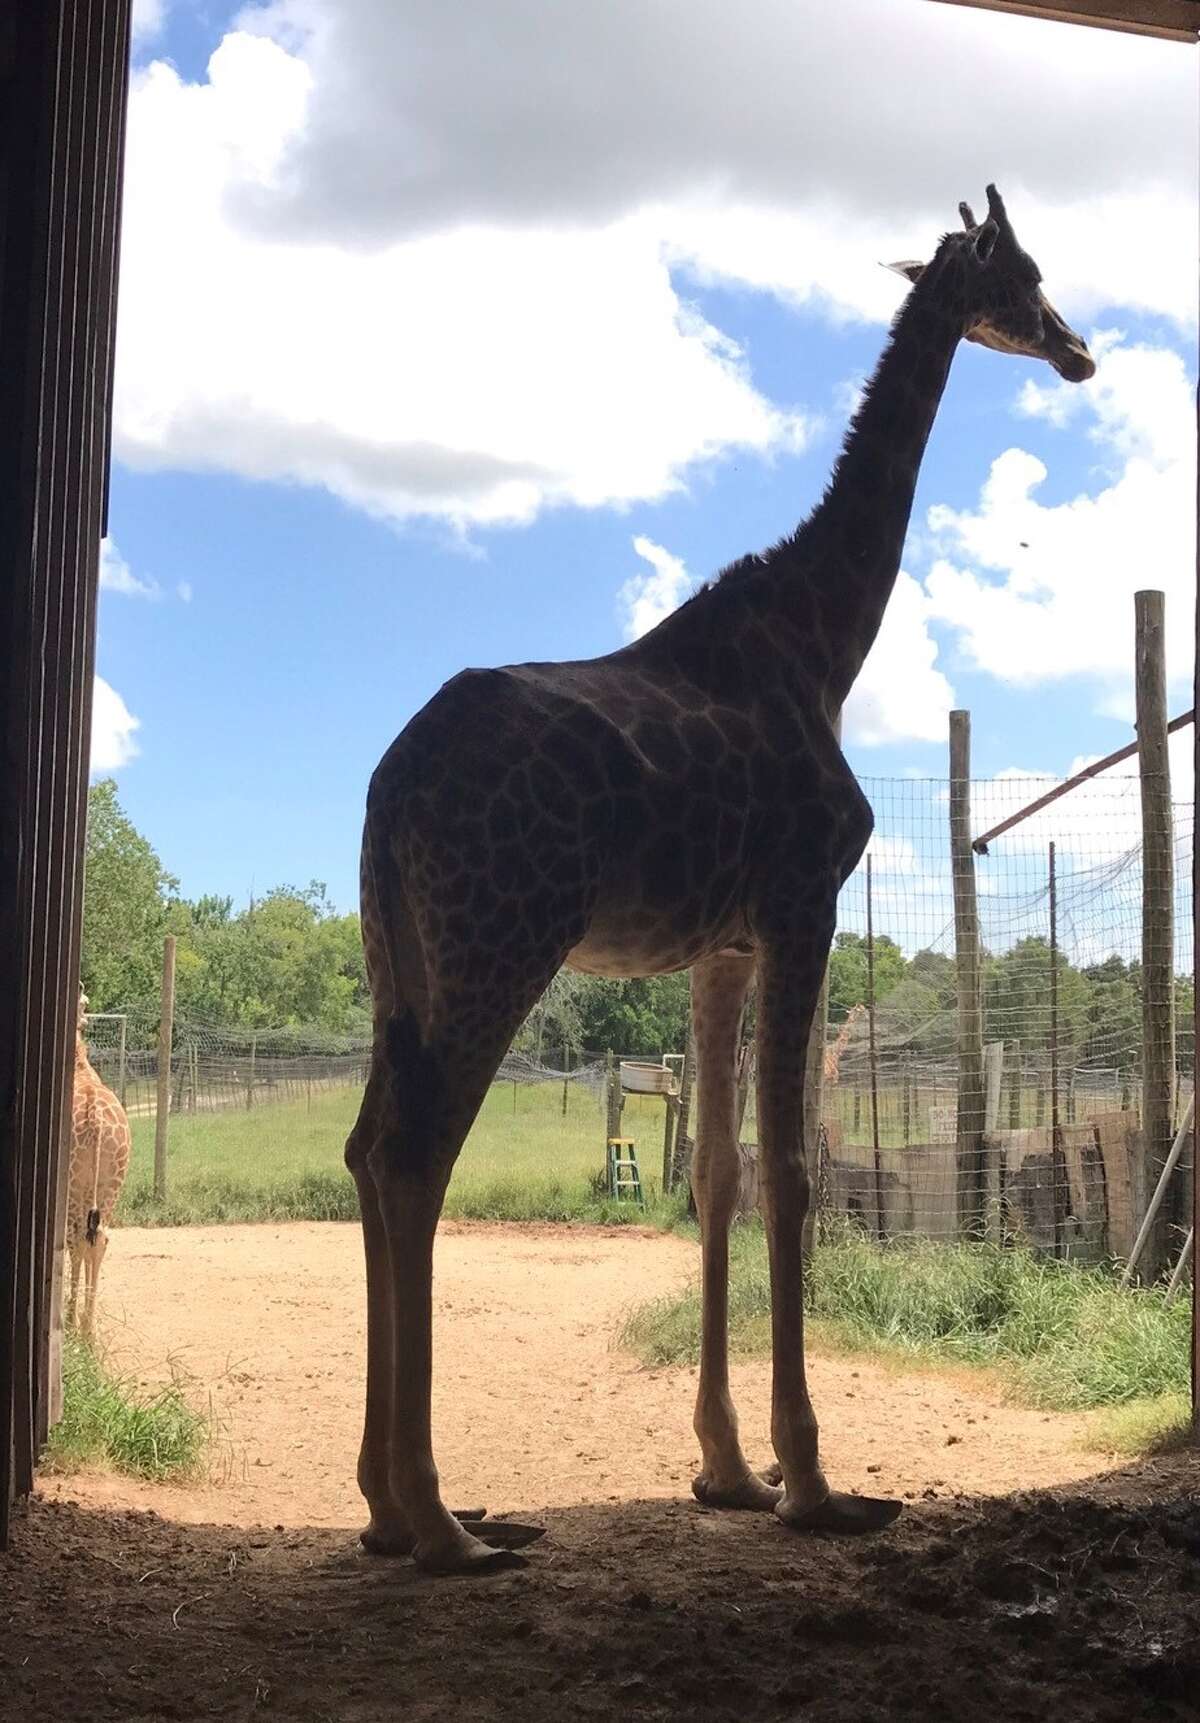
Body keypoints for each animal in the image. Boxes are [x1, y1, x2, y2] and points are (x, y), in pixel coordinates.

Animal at [341, 188, 1089, 1578]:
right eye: (1022, 271)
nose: (1079, 351)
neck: (827, 638)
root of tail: (388, 786)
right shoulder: (802, 904)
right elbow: (793, 1171)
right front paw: (815, 1481)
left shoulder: (719, 949)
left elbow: (723, 1174)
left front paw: (729, 1468)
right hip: (497, 945)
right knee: (416, 1157)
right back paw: (439, 1521)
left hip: (395, 965)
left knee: (368, 1149)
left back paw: (384, 1507)